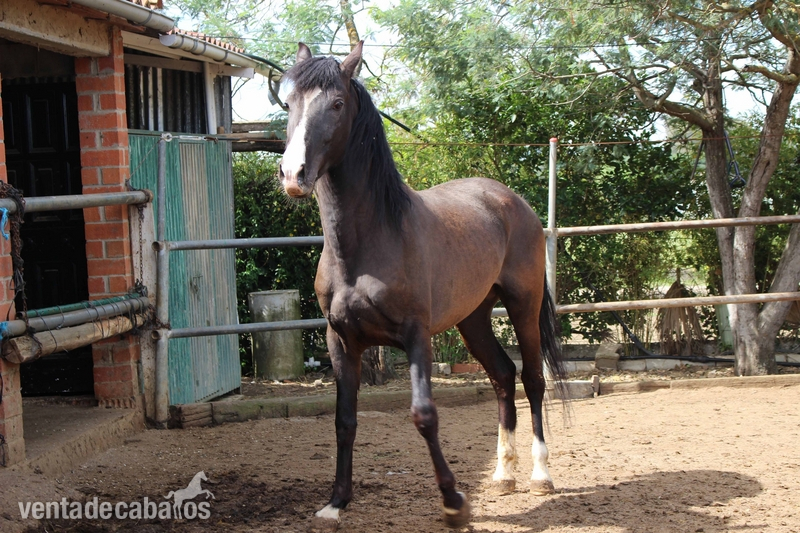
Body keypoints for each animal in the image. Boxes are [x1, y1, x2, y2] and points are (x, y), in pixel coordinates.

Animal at [278, 41, 566, 531]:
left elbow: (424, 415)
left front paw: (454, 502)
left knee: (531, 379)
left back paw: (540, 475)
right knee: (503, 377)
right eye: (287, 103)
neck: (368, 244)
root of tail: (512, 201)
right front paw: (336, 501)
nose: (293, 175)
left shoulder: (417, 337)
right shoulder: (341, 340)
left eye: (336, 104)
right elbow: (344, 420)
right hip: (474, 319)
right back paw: (503, 475)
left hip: (523, 307)